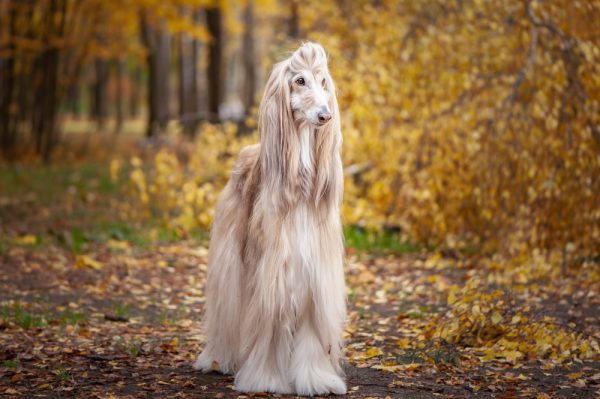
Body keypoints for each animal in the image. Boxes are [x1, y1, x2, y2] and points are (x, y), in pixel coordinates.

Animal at [196, 42, 346, 396]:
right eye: (300, 80)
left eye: (323, 81)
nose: (325, 116)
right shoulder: (273, 272)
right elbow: (270, 328)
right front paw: (266, 379)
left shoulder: (314, 275)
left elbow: (310, 332)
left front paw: (315, 379)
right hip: (231, 262)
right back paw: (218, 359)